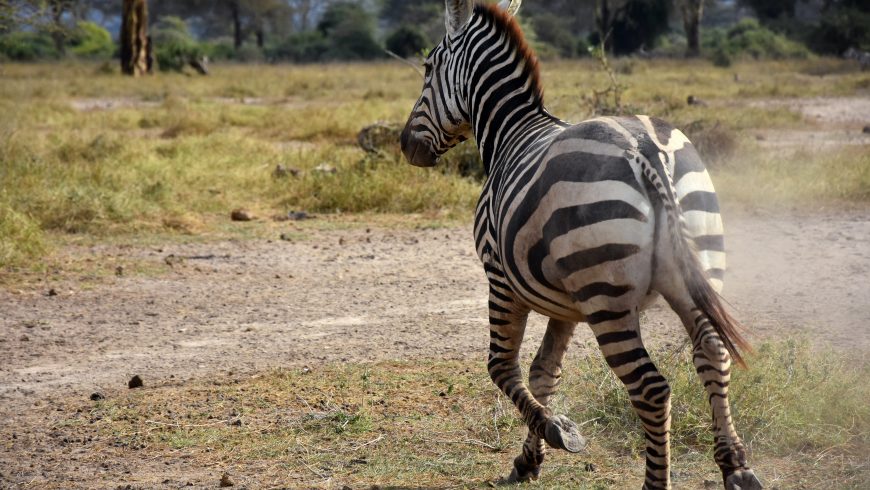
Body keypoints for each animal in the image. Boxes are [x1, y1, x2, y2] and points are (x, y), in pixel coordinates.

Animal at [402, 0, 764, 490]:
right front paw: (529, 459)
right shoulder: (565, 305)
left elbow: (502, 366)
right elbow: (544, 372)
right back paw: (736, 467)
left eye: (427, 68)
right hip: (695, 265)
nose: (406, 145)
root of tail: (646, 149)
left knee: (651, 388)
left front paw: (556, 432)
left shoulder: (500, 279)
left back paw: (657, 481)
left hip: (605, 295)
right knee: (712, 353)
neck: (510, 131)